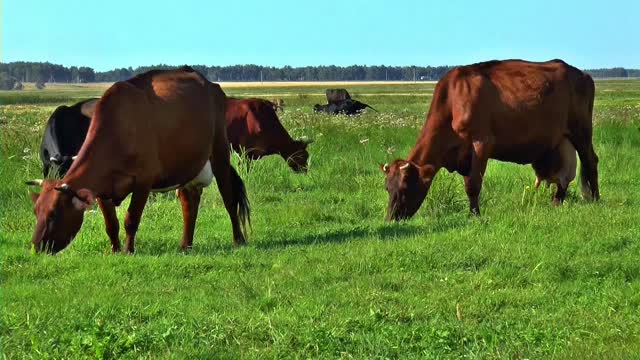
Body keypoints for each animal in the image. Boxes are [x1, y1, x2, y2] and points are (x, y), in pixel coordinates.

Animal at [26, 67, 250, 253]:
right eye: (36, 211)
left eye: (54, 213)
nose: (36, 247)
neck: (117, 132)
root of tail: (209, 84)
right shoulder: (101, 189)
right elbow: (111, 224)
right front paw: (115, 250)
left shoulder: (143, 181)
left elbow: (131, 219)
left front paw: (128, 250)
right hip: (188, 165)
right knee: (189, 202)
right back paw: (186, 244)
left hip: (219, 152)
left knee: (229, 198)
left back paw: (238, 240)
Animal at [380, 59, 600, 219]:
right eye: (387, 188)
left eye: (405, 187)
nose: (391, 219)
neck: (453, 101)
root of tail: (582, 74)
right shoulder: (465, 154)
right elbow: (468, 183)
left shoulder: (482, 143)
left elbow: (473, 184)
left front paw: (475, 215)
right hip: (561, 141)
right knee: (564, 175)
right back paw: (556, 202)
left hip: (582, 131)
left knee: (590, 160)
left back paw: (596, 198)